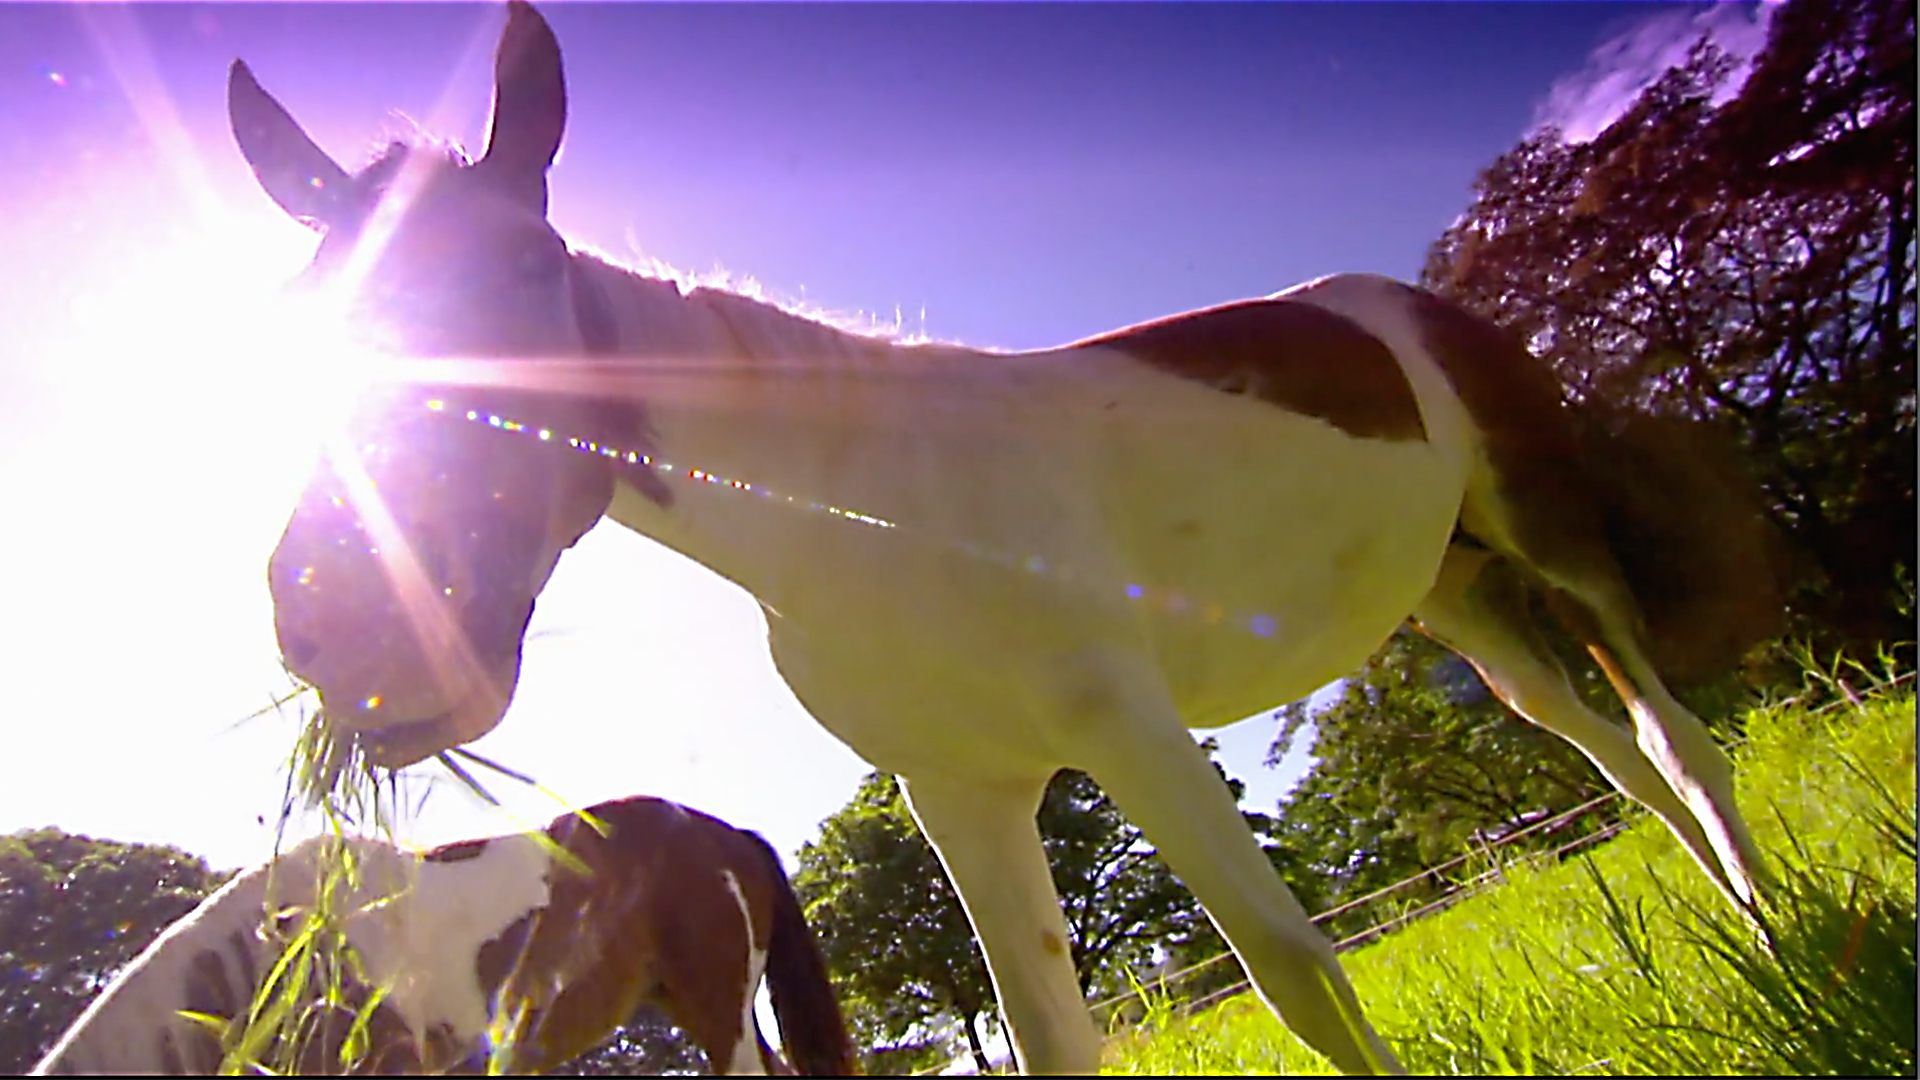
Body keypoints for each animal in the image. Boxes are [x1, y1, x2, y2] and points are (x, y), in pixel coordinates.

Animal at [226, 2, 1788, 1073]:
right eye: (303, 317)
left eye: (521, 270)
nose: (344, 626)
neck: (857, 506)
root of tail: (1395, 301)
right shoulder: (964, 794)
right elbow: (1052, 1039)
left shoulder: (1128, 726)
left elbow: (1296, 972)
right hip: (1466, 604)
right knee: (1614, 764)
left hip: (1553, 547)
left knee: (1684, 752)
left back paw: (1786, 948)